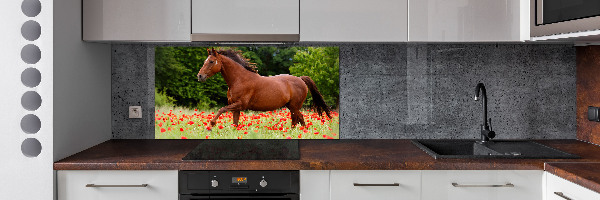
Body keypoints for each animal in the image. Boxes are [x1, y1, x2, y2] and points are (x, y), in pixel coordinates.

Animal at [197, 48, 330, 130]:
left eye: (211, 61)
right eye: (205, 61)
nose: (200, 76)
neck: (239, 79)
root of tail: (301, 79)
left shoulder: (240, 104)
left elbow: (221, 109)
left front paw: (211, 124)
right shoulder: (235, 107)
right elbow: (235, 123)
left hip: (294, 106)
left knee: (299, 118)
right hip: (291, 106)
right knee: (296, 119)